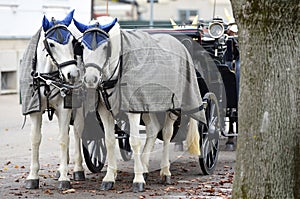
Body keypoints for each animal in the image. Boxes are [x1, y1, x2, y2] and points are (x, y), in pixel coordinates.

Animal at [19, 9, 85, 190]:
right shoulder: (35, 109)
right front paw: (33, 176)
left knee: (77, 131)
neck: (48, 76)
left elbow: (63, 139)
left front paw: (64, 178)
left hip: (79, 107)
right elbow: (35, 139)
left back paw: (77, 169)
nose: (72, 74)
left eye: (73, 43)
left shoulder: (65, 107)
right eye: (52, 44)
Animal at [73, 17, 205, 193]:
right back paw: (144, 167)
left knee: (167, 133)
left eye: (106, 46)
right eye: (82, 47)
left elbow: (134, 142)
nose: (90, 79)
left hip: (173, 107)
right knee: (153, 129)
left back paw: (165, 172)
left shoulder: (133, 109)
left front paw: (138, 180)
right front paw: (109, 177)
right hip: (149, 105)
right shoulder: (105, 110)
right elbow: (109, 140)